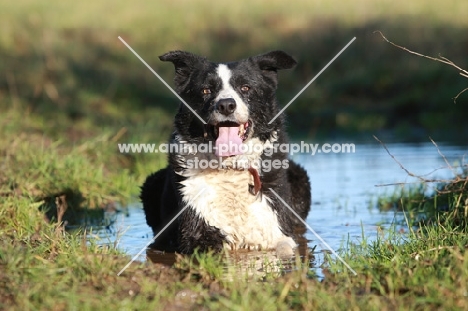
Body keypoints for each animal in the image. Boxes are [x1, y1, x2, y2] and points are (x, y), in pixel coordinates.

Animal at [141, 50, 312, 258]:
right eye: (206, 90)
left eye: (245, 88)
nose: (226, 105)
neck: (229, 168)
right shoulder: (197, 232)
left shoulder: (276, 229)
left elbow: (285, 248)